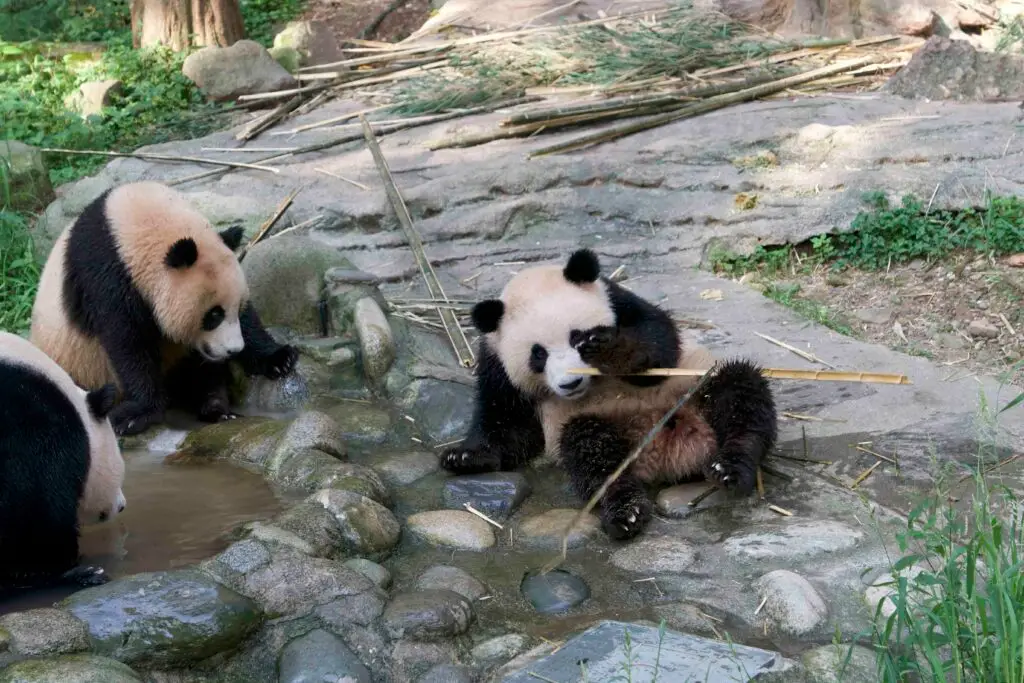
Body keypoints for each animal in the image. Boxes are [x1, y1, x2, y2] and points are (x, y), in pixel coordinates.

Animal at [30, 181, 299, 437]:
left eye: (237, 306)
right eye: (213, 315)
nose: (234, 350)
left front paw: (279, 358)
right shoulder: (104, 276)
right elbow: (127, 343)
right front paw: (136, 414)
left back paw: (215, 408)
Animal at [441, 249, 778, 540]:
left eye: (576, 337)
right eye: (538, 354)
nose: (570, 383)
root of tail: (670, 453)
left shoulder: (621, 304)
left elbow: (657, 353)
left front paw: (609, 349)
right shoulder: (496, 361)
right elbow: (509, 424)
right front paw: (465, 456)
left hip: (694, 391)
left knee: (740, 392)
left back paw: (730, 467)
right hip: (605, 427)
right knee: (591, 453)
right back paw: (625, 511)